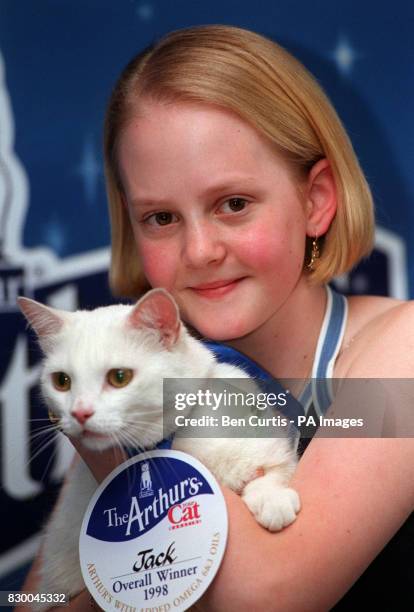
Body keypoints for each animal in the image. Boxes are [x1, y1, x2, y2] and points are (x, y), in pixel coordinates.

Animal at [18, 290, 300, 604]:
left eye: (119, 377)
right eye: (62, 381)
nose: (79, 412)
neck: (182, 437)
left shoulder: (271, 436)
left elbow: (275, 467)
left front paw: (271, 498)